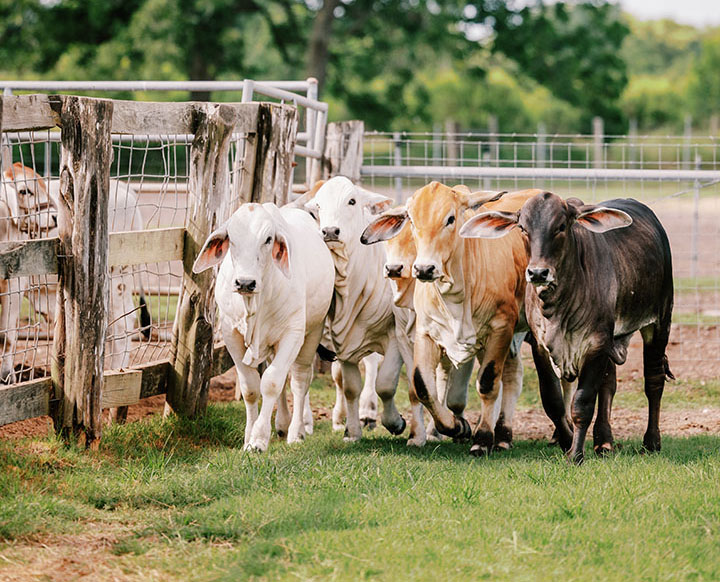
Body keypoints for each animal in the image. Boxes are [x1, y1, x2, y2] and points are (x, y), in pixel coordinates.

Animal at [464, 194, 672, 468]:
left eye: (561, 226)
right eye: (523, 228)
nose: (538, 273)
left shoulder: (596, 343)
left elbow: (582, 403)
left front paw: (575, 454)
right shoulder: (541, 346)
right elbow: (552, 401)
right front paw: (566, 442)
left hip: (659, 322)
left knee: (653, 382)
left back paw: (651, 442)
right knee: (608, 386)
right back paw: (604, 442)